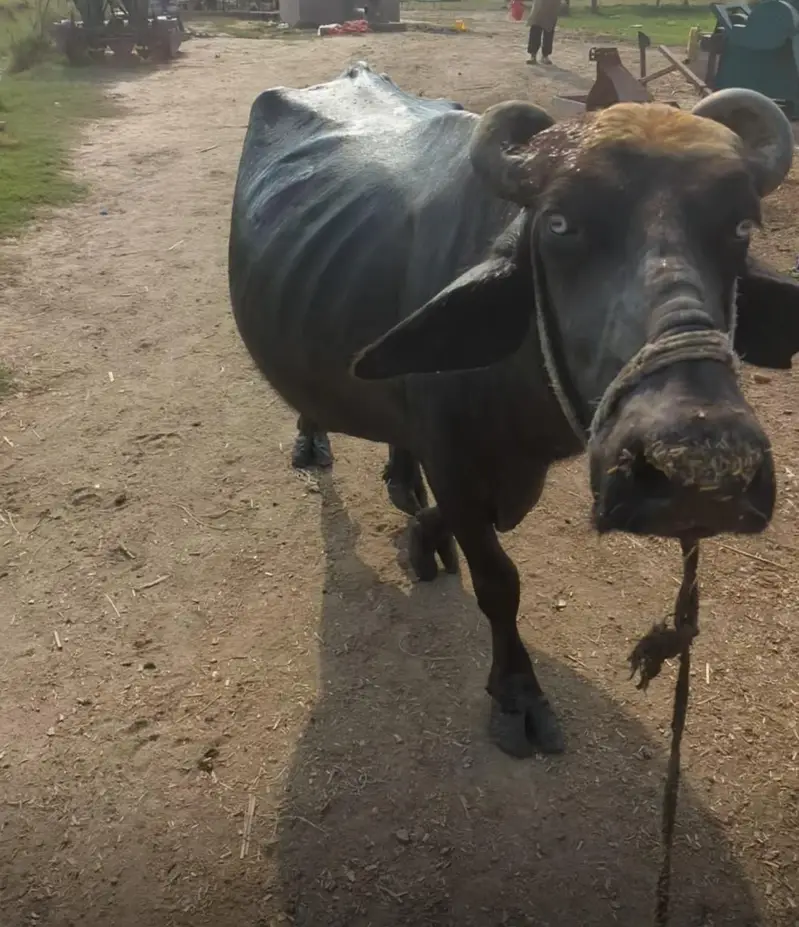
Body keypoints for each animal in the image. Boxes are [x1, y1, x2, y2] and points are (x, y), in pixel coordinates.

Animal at [229, 63, 799, 758]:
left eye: (741, 226)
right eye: (559, 225)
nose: (701, 470)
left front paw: (422, 538)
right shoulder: (454, 458)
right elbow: (498, 579)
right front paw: (518, 695)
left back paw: (401, 479)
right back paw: (312, 440)